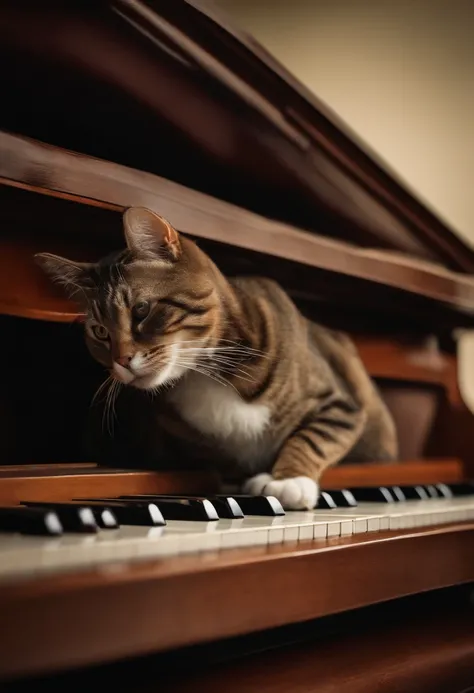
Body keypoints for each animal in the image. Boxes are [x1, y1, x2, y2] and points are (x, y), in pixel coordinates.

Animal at [36, 205, 396, 508]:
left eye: (141, 310)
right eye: (100, 332)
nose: (121, 361)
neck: (204, 370)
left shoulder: (342, 403)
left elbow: (317, 436)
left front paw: (289, 480)